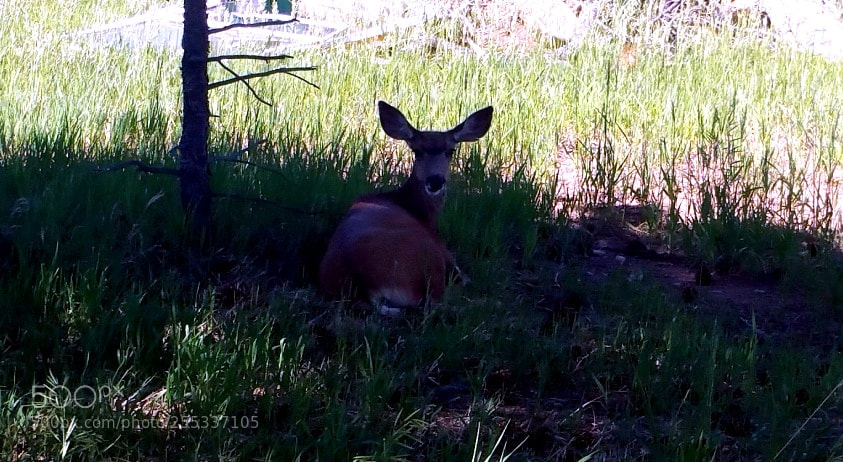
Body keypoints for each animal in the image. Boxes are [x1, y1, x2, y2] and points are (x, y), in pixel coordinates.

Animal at [319, 101, 494, 315]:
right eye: (417, 151)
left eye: (450, 151)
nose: (435, 181)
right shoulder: (444, 250)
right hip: (429, 258)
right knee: (436, 302)